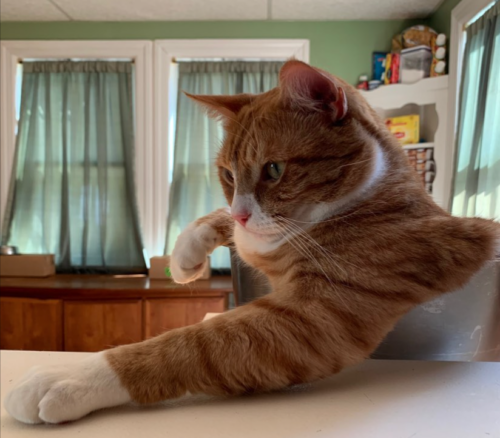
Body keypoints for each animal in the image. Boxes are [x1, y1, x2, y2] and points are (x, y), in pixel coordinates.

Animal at [4, 60, 500, 422]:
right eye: (227, 174)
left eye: (274, 170)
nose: (244, 210)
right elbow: (228, 228)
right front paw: (186, 255)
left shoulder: (310, 319)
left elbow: (187, 345)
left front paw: (70, 376)